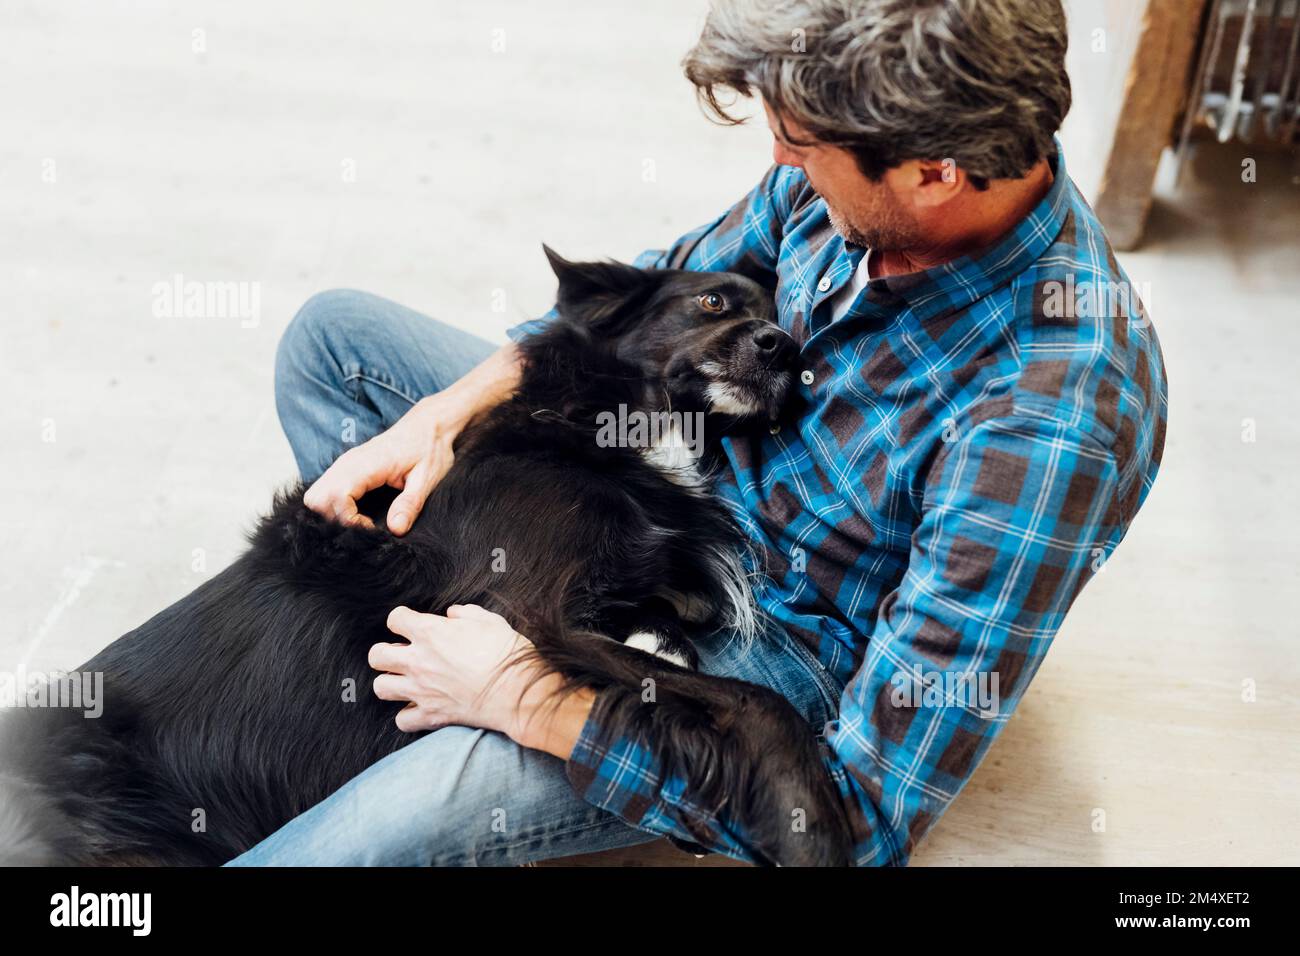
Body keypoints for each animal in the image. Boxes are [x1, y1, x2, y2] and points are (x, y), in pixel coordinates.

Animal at [0, 251, 857, 868]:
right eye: (713, 302)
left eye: (780, 319)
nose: (785, 348)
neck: (597, 430)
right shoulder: (527, 617)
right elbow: (751, 701)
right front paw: (811, 820)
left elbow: (682, 648)